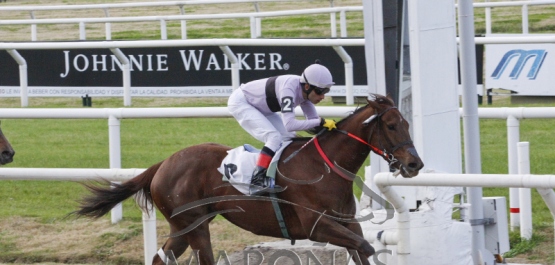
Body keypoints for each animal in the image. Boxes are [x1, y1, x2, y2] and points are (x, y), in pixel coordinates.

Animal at [73, 94, 422, 262]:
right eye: (392, 125)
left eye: (407, 122)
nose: (414, 163)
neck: (324, 167)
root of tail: (162, 164)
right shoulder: (318, 227)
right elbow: (365, 247)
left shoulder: (347, 224)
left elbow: (363, 249)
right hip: (195, 225)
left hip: (182, 227)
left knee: (161, 257)